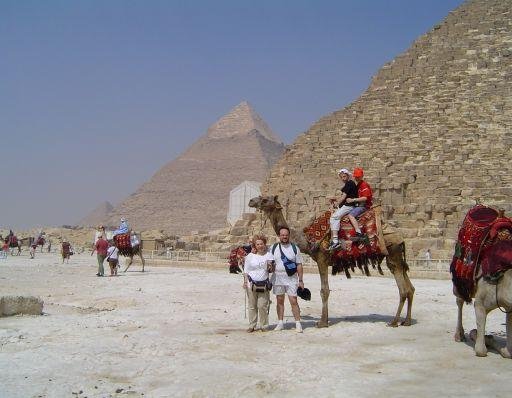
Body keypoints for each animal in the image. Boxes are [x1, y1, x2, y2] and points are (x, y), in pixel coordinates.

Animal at [248, 194, 416, 328]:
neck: (306, 239)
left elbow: (324, 290)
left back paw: (394, 322)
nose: (251, 201)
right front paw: (326, 319)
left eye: (265, 199)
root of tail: (400, 238)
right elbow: (326, 290)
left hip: (393, 253)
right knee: (410, 288)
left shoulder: (321, 258)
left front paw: (322, 322)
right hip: (395, 257)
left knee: (402, 290)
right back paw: (406, 321)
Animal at [452, 205, 512, 358]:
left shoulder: (510, 308)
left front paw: (489, 338)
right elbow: (481, 350)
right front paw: (477, 334)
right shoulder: (480, 303)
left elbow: (508, 352)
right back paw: (459, 335)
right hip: (459, 282)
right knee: (459, 301)